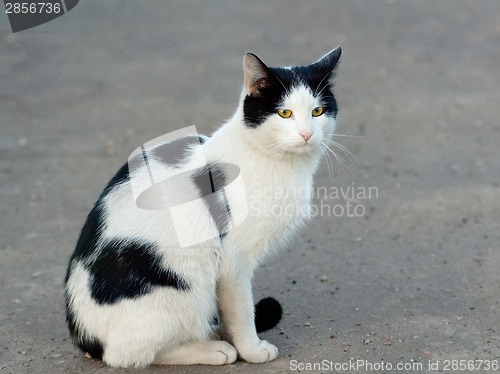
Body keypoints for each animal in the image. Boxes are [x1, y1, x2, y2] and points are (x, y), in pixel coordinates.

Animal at [64, 47, 342, 368]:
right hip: (184, 283)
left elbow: (231, 310)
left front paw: (235, 336)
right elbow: (241, 310)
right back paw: (210, 349)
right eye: (284, 113)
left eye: (317, 111)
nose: (307, 134)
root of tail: (85, 337)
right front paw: (251, 349)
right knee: (128, 354)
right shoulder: (233, 258)